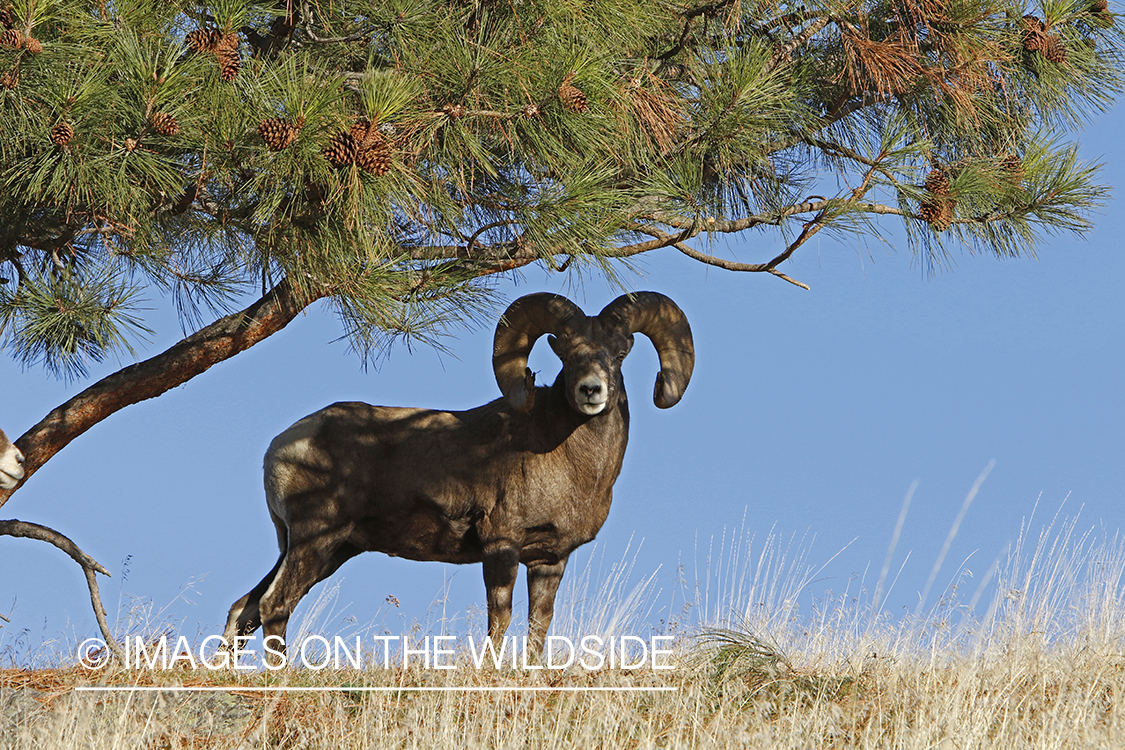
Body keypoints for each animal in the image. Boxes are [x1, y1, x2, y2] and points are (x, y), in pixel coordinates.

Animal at [221, 290, 693, 661]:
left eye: (619, 353)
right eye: (566, 353)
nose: (591, 391)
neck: (567, 460)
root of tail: (280, 448)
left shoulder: (549, 560)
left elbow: (538, 626)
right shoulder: (501, 546)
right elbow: (499, 619)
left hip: (324, 550)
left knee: (245, 608)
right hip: (314, 542)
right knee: (274, 606)